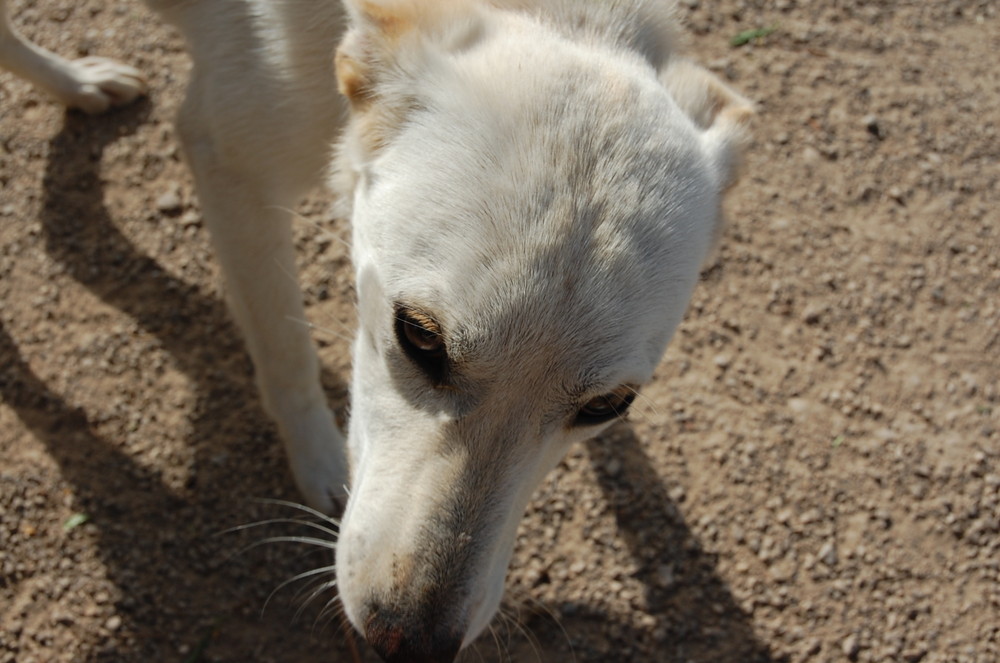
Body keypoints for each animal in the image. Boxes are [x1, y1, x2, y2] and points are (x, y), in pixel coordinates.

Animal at [1, 2, 752, 660]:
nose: (408, 645)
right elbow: (285, 352)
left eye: (606, 406)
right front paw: (322, 468)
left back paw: (78, 86)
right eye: (418, 336)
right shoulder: (227, 160)